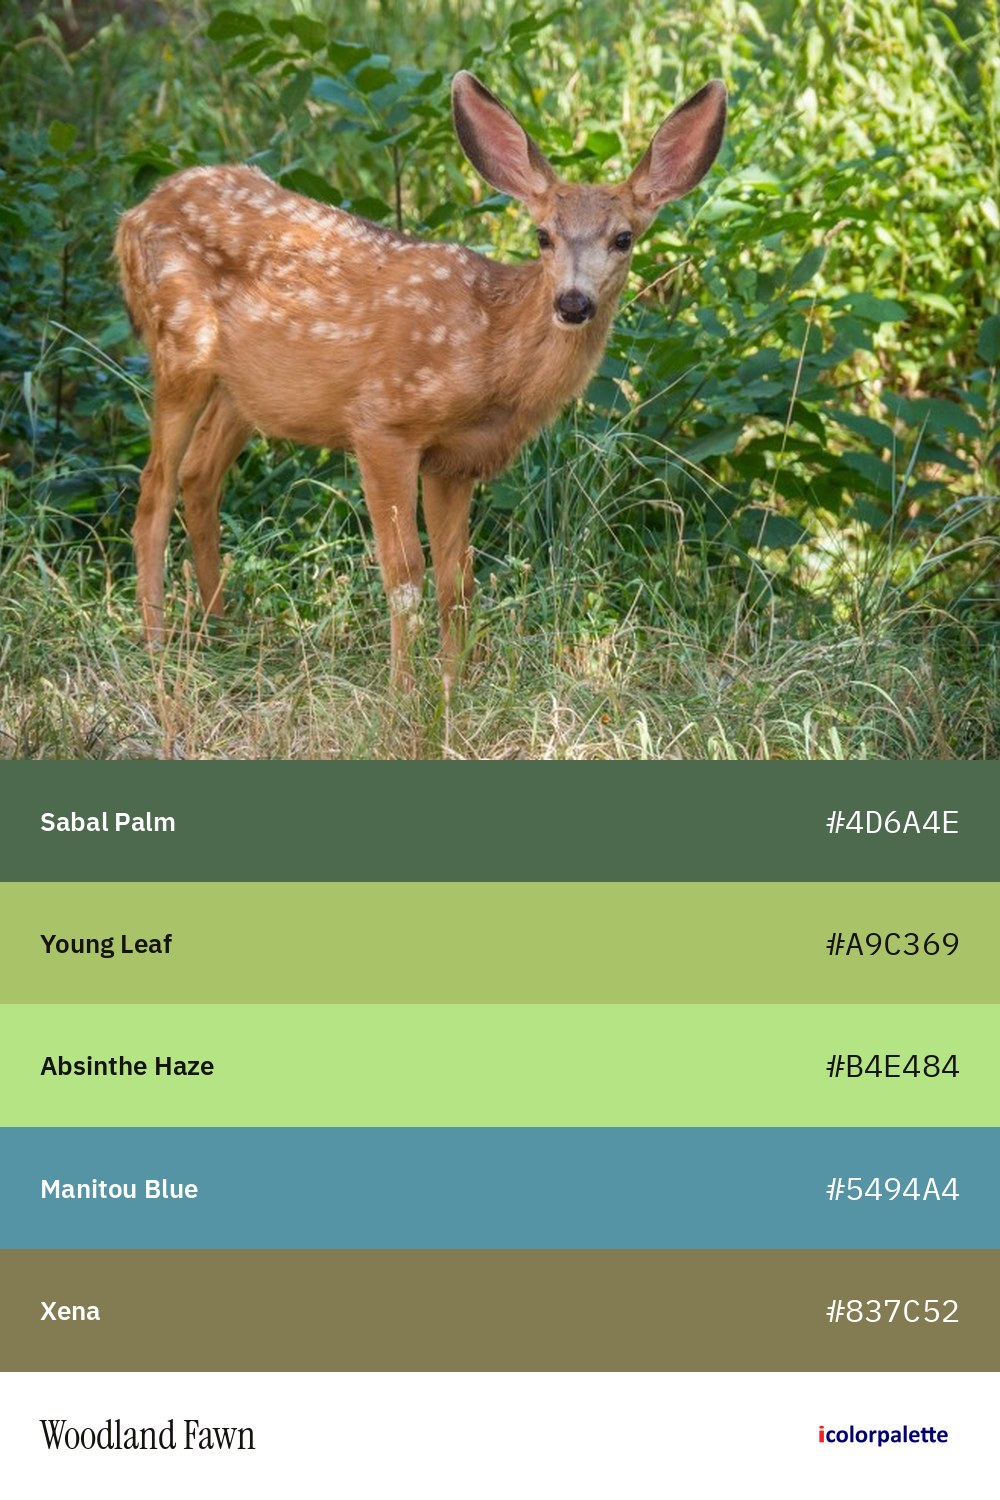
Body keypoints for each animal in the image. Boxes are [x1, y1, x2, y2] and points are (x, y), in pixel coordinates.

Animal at [115, 70, 727, 689]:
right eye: (543, 236)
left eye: (623, 238)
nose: (573, 302)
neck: (491, 353)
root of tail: (131, 216)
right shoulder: (383, 422)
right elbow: (406, 573)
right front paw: (403, 692)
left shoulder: (456, 460)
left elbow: (458, 581)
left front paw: (455, 687)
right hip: (180, 346)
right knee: (154, 488)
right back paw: (157, 646)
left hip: (245, 391)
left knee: (199, 475)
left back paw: (221, 630)